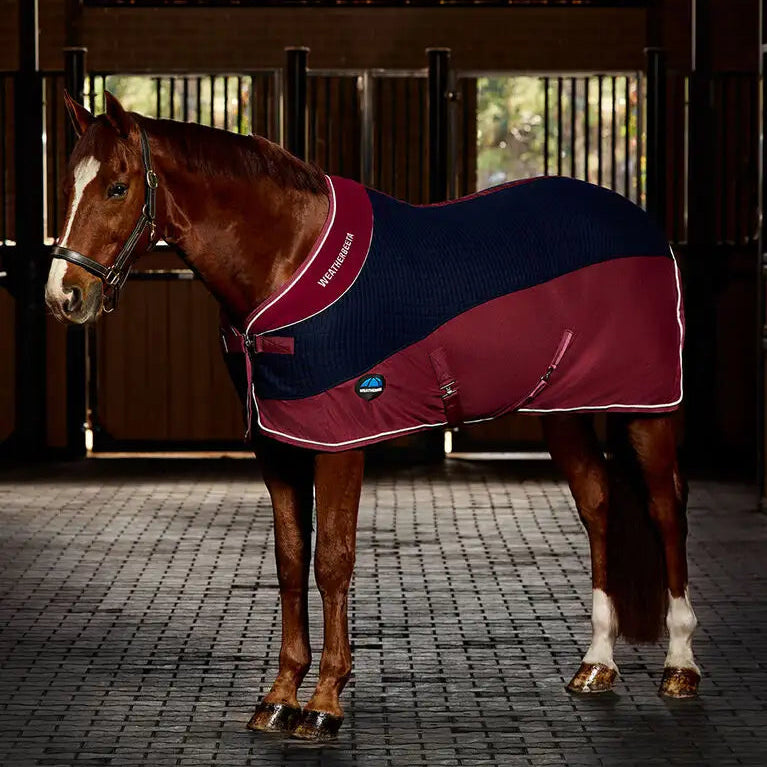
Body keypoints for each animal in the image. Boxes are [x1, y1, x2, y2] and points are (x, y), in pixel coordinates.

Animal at [45, 92, 700, 742]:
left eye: (117, 187)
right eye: (69, 184)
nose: (64, 296)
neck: (287, 259)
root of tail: (641, 225)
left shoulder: (339, 441)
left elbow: (332, 562)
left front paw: (324, 702)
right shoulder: (277, 446)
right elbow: (290, 562)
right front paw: (279, 696)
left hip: (649, 409)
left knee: (667, 512)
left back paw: (680, 666)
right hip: (564, 411)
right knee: (598, 506)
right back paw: (597, 664)